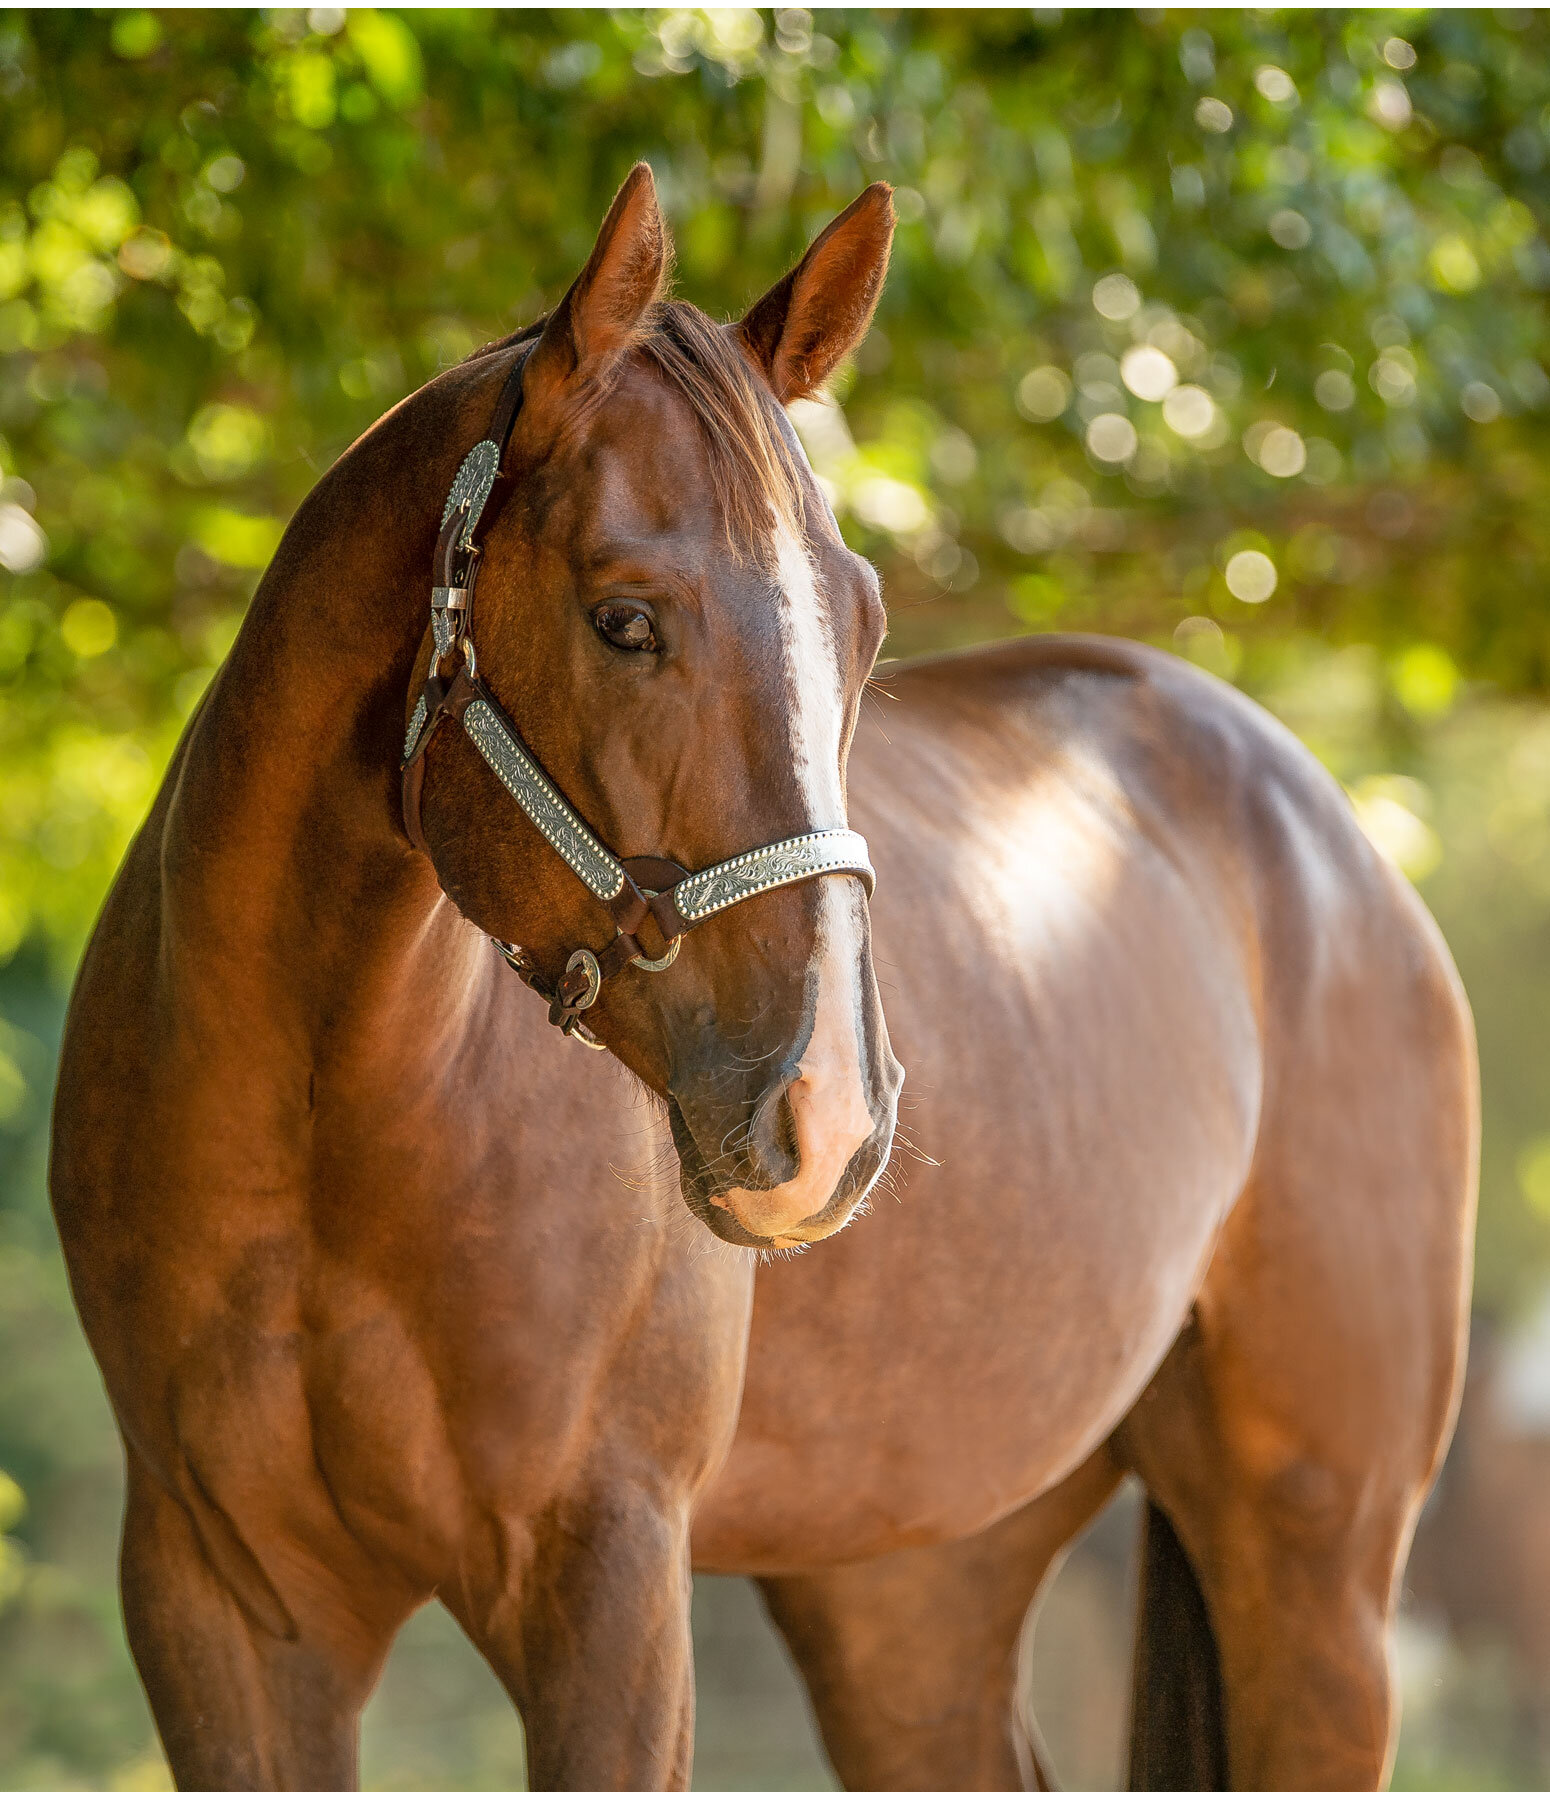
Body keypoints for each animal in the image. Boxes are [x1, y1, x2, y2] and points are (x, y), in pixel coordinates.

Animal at [48, 165, 1476, 1785]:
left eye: (861, 627)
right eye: (623, 618)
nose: (828, 1115)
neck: (325, 1124)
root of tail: (1328, 839)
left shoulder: (604, 1577)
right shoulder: (221, 1601)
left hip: (1316, 1570)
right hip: (909, 1583)